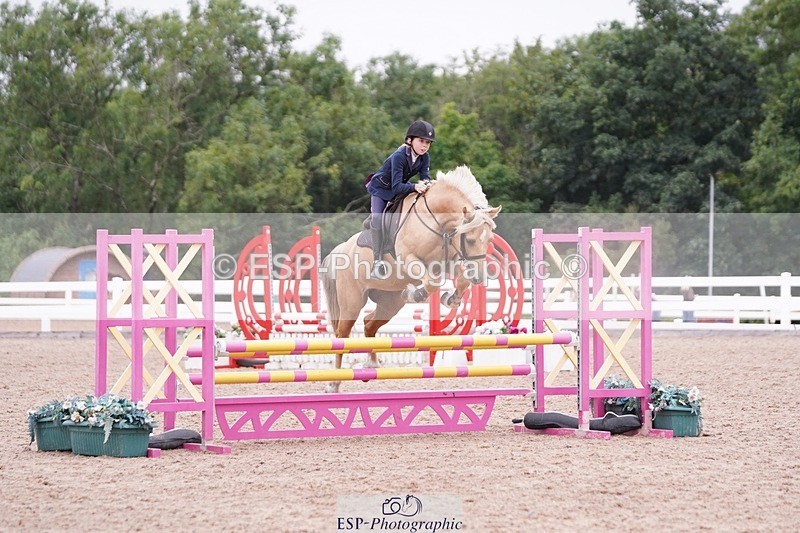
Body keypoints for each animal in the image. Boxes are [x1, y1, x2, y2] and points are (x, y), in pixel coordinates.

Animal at [321, 166, 501, 392]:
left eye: (490, 240)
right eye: (469, 239)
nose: (479, 277)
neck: (437, 221)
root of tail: (340, 249)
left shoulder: (448, 261)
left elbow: (460, 280)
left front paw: (451, 299)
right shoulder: (410, 259)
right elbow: (432, 282)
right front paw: (417, 294)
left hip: (390, 302)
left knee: (369, 324)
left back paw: (371, 365)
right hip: (351, 303)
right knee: (342, 335)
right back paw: (333, 384)